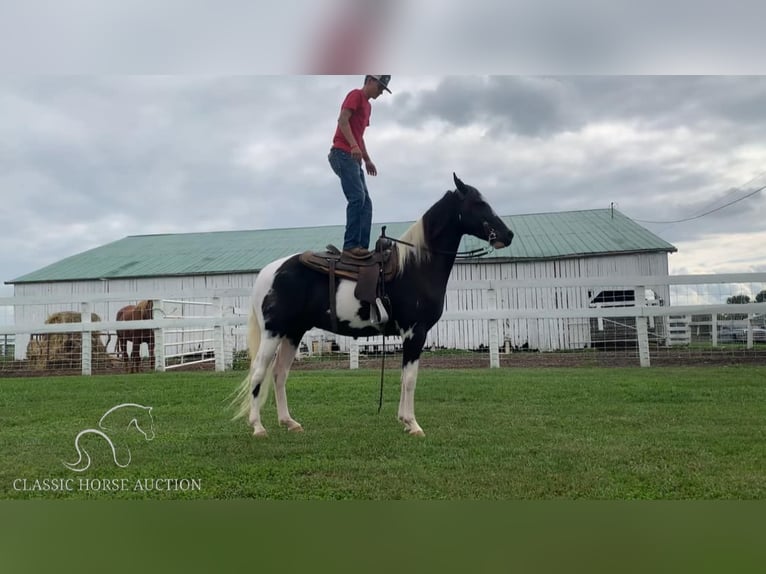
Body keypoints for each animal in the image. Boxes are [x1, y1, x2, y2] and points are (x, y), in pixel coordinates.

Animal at [236, 174, 516, 436]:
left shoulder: (409, 335)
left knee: (279, 373)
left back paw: (289, 422)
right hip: (273, 332)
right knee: (259, 371)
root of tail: (269, 272)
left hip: (293, 333)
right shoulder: (415, 332)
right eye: (479, 203)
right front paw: (413, 424)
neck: (415, 266)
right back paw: (258, 426)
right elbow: (411, 379)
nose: (508, 235)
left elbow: (403, 377)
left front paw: (404, 420)